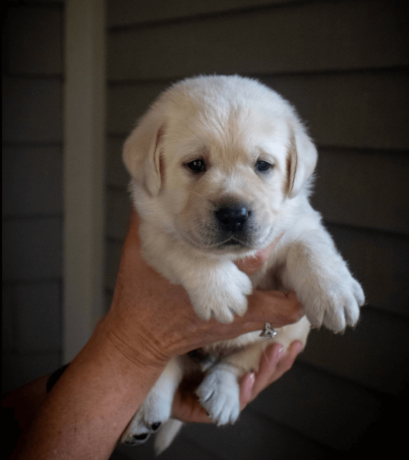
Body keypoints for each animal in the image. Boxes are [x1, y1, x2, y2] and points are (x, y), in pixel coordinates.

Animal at [118, 75, 364, 452]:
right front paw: (222, 292)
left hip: (289, 335)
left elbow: (311, 245)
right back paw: (146, 412)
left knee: (237, 363)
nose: (234, 214)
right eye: (196, 164)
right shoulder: (151, 234)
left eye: (263, 165)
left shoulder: (299, 222)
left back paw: (221, 392)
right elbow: (185, 248)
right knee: (167, 366)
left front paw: (334, 292)